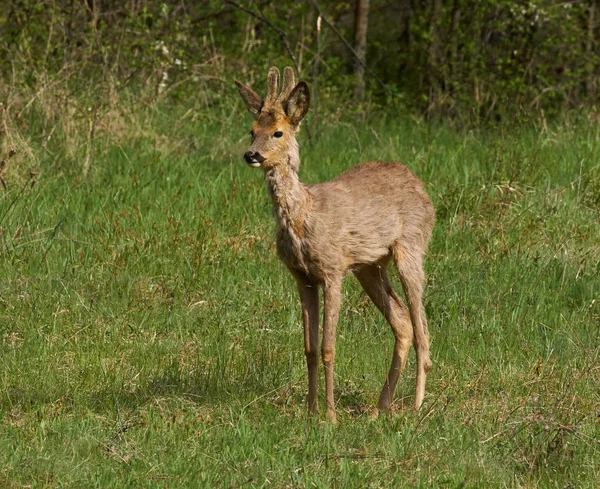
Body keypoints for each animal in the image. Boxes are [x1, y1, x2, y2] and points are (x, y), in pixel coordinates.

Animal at [234, 66, 436, 422]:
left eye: (278, 132)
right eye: (252, 129)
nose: (251, 155)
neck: (304, 215)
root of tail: (421, 187)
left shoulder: (332, 269)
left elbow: (329, 347)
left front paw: (330, 416)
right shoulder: (302, 277)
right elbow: (310, 348)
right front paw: (311, 411)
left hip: (411, 246)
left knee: (421, 328)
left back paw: (415, 406)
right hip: (370, 266)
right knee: (402, 324)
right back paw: (379, 408)